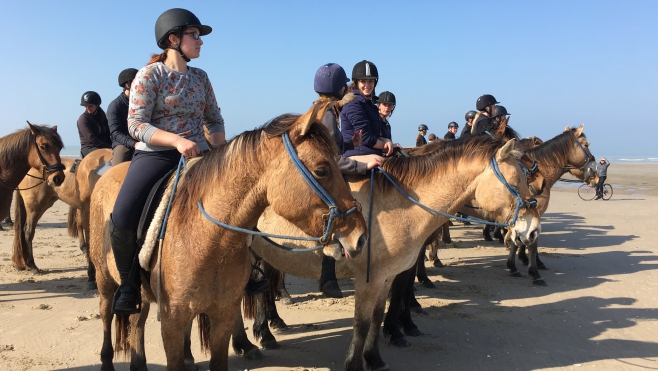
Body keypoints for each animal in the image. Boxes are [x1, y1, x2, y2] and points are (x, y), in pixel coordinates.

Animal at [88, 99, 366, 371]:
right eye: (321, 170)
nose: (360, 237)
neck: (206, 241)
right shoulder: (172, 321)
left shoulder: (223, 315)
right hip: (105, 280)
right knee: (106, 315)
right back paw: (106, 362)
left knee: (137, 322)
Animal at [246, 137, 540, 371]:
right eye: (515, 182)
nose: (534, 230)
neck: (402, 204)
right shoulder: (369, 280)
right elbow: (362, 323)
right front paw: (355, 364)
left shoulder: (386, 277)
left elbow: (377, 317)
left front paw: (374, 359)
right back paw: (261, 337)